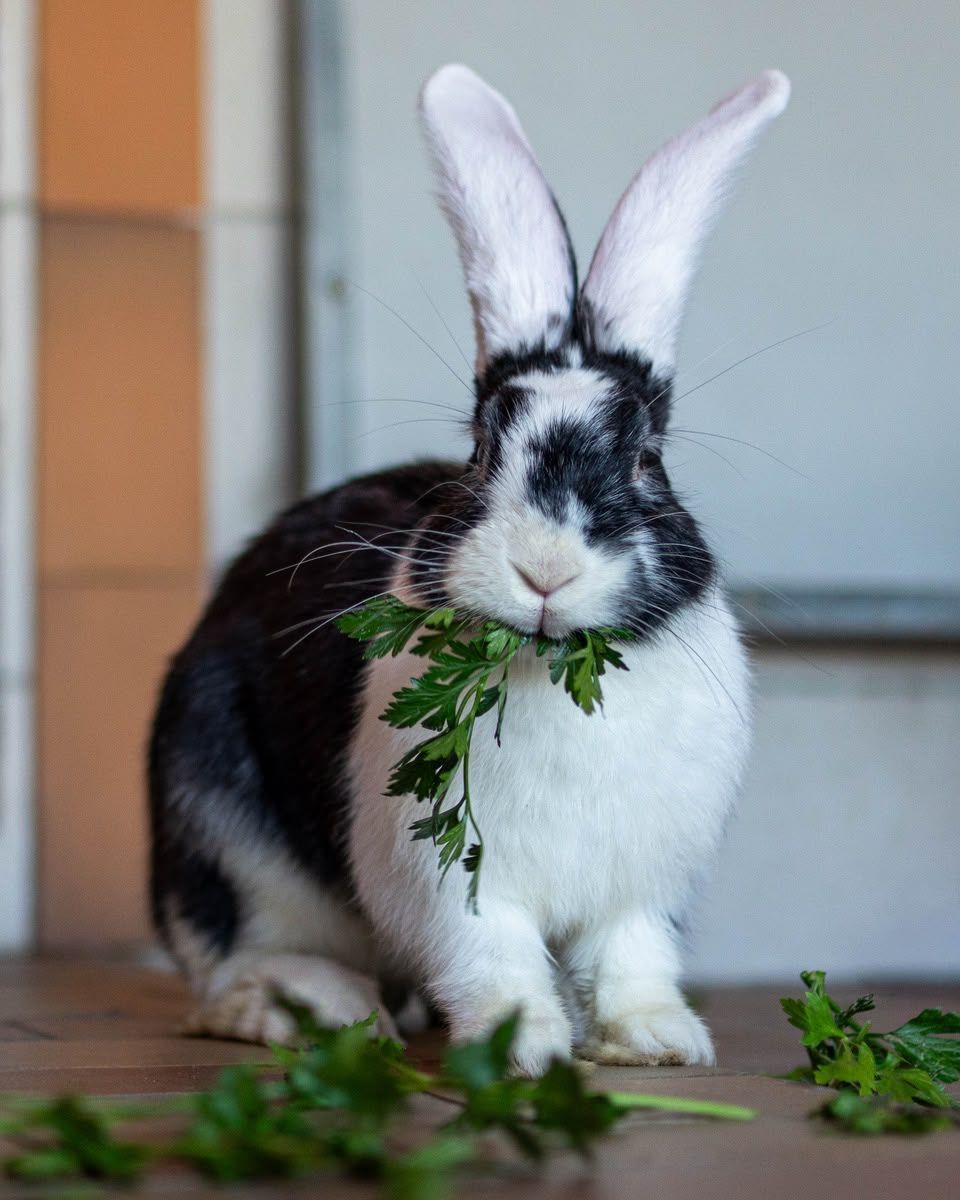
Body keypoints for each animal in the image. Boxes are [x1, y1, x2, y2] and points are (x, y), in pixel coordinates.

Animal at [149, 64, 790, 1072]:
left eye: (647, 458)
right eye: (482, 448)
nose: (544, 570)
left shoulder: (639, 888)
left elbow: (630, 956)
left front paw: (657, 1042)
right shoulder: (450, 885)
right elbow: (492, 958)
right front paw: (521, 1049)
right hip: (217, 817)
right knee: (231, 960)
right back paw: (317, 1007)